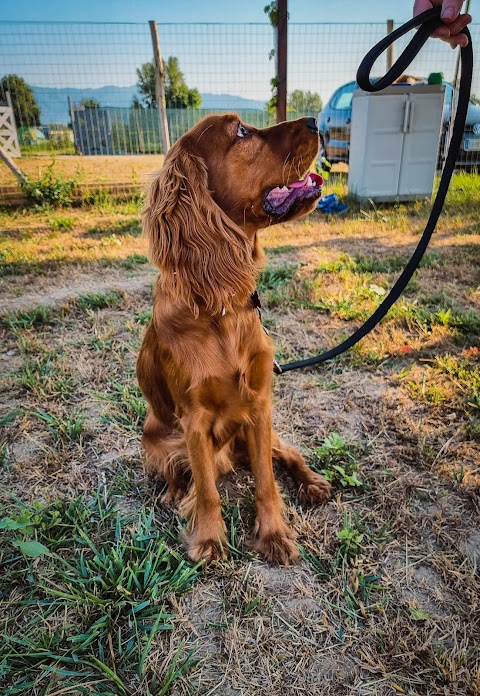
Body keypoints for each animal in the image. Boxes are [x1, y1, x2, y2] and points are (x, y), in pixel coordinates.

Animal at [135, 111, 330, 564]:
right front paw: (209, 539)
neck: (222, 308)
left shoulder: (259, 406)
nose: (316, 120)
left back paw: (311, 482)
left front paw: (274, 534)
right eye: (240, 131)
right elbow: (207, 489)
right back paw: (174, 492)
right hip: (155, 439)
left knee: (286, 453)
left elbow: (266, 481)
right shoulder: (193, 420)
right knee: (180, 470)